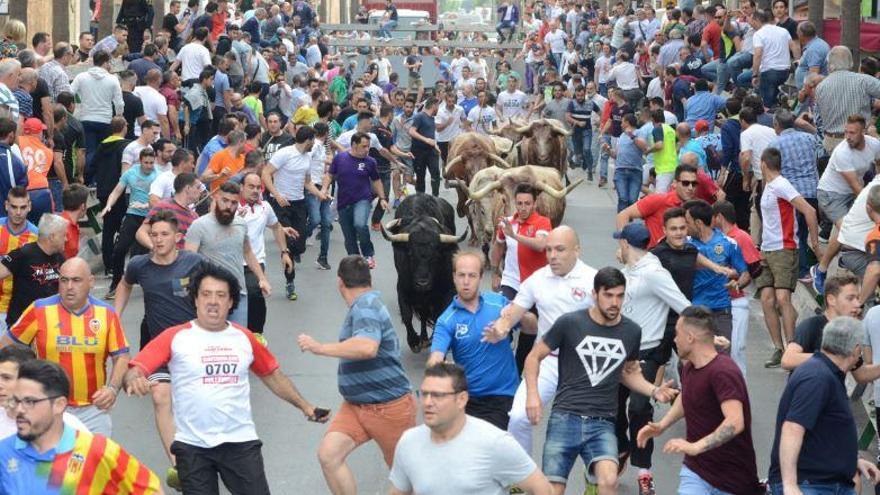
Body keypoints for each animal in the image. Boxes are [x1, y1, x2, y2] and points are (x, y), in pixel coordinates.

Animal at [382, 194, 470, 352]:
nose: (422, 283)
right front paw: (413, 341)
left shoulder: (446, 291)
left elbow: (439, 315)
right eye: (410, 254)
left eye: (436, 255)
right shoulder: (402, 288)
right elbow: (407, 314)